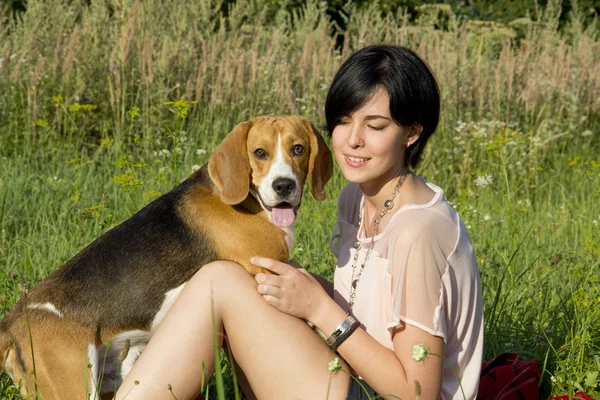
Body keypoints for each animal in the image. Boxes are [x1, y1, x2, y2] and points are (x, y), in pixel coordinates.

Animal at [0, 115, 332, 396]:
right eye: (259, 152)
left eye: (299, 149)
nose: (284, 185)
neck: (250, 199)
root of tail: (12, 323)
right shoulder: (270, 271)